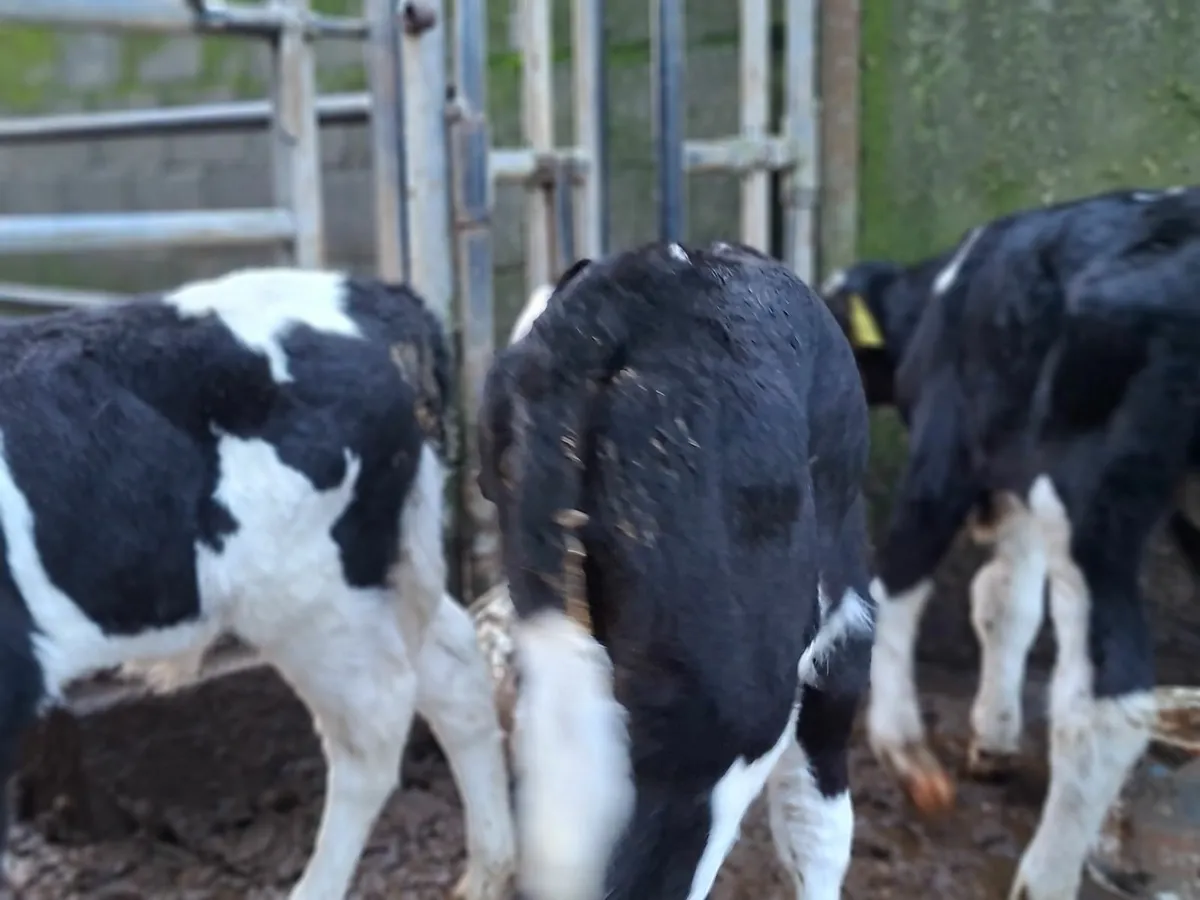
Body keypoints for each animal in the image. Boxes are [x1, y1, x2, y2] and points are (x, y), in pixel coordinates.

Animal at [0, 268, 515, 900]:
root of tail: (370, 292)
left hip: (311, 600)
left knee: (373, 726)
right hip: (377, 571)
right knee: (452, 667)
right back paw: (488, 871)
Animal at [819, 184, 1200, 899]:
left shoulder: (946, 452)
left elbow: (895, 583)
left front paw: (902, 748)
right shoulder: (1014, 481)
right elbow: (1006, 603)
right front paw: (992, 737)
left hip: (1092, 501)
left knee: (1103, 704)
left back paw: (1045, 876)